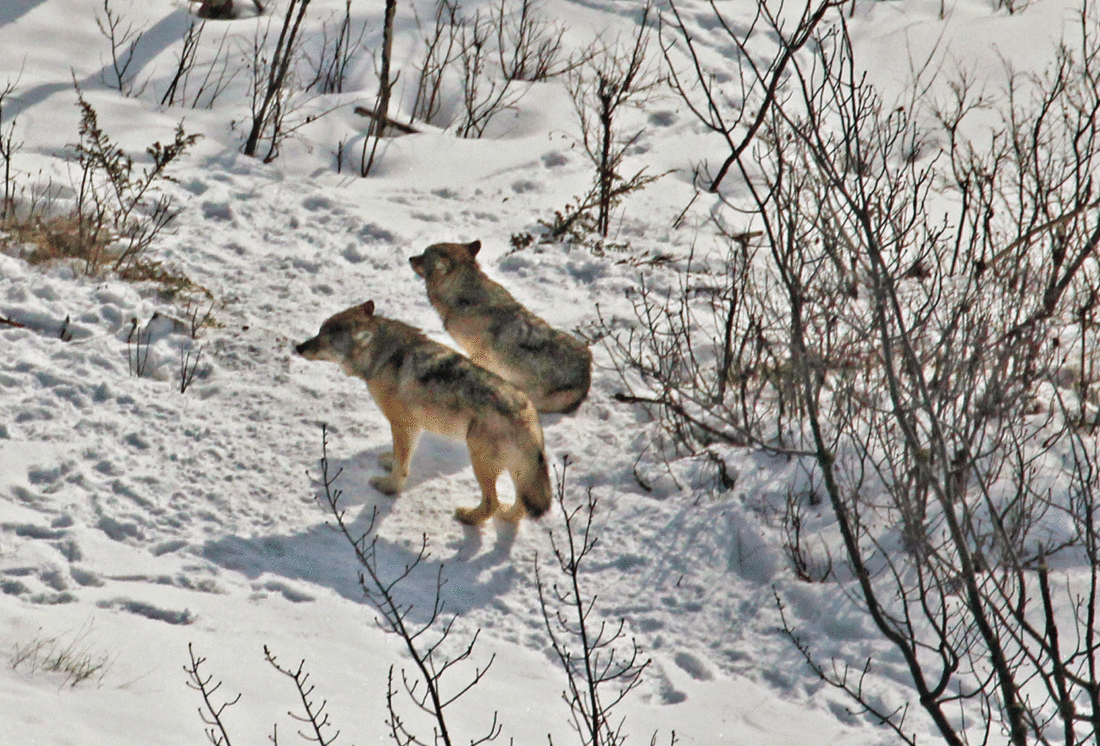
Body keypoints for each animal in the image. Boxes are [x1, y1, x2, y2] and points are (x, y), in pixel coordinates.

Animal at [295, 301, 552, 525]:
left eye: (324, 339)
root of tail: (528, 412)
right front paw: (388, 461)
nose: (298, 347)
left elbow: (401, 465)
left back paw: (468, 518)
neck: (382, 355)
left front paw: (388, 487)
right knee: (518, 508)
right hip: (513, 472)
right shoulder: (411, 427)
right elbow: (399, 456)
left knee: (492, 504)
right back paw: (505, 516)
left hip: (480, 461)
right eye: (319, 331)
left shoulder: (402, 424)